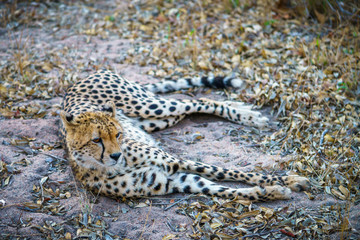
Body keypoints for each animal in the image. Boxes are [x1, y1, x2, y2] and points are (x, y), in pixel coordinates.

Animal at [61, 70, 310, 202]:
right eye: (96, 140)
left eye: (118, 134)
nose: (116, 155)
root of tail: (79, 80)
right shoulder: (175, 181)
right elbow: (225, 189)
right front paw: (273, 191)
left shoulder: (174, 162)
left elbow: (228, 171)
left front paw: (289, 180)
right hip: (156, 120)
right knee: (189, 108)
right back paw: (242, 109)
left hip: (150, 107)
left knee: (197, 101)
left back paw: (248, 115)